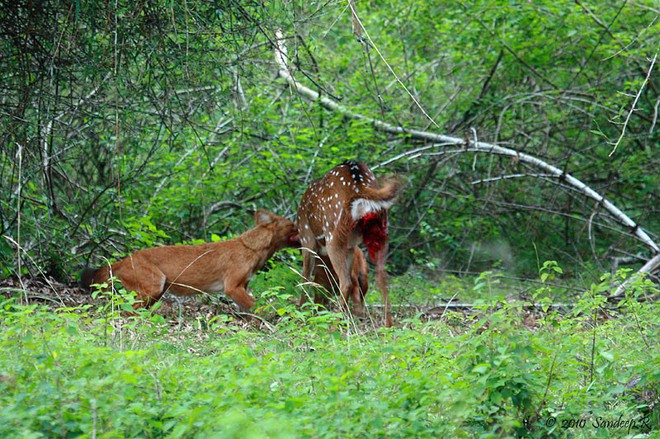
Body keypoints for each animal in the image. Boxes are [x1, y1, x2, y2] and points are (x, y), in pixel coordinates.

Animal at [78, 210, 302, 312]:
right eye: (293, 224)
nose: (303, 226)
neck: (252, 249)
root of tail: (125, 259)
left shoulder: (242, 287)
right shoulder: (232, 287)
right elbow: (260, 307)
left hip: (156, 293)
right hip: (154, 286)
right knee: (128, 311)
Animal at [296, 162, 400, 326]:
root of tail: (359, 187)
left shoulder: (306, 236)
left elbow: (305, 276)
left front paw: (301, 312)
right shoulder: (350, 246)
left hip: (332, 234)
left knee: (346, 282)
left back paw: (335, 324)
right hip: (380, 230)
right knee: (381, 276)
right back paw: (388, 326)